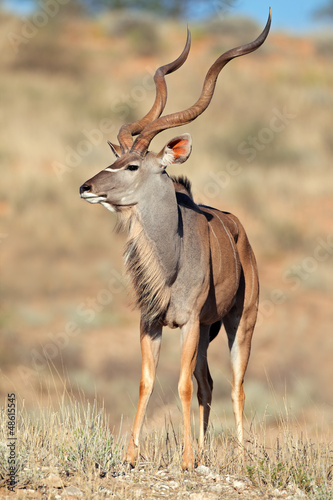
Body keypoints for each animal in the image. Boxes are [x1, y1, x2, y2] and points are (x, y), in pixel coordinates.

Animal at [80, 12, 270, 472]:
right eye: (113, 158)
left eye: (131, 165)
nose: (86, 187)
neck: (170, 262)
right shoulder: (151, 323)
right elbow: (148, 381)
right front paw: (131, 456)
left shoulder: (187, 323)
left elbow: (181, 384)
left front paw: (184, 460)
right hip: (207, 331)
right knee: (208, 381)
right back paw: (203, 450)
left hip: (239, 321)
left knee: (234, 383)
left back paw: (238, 456)